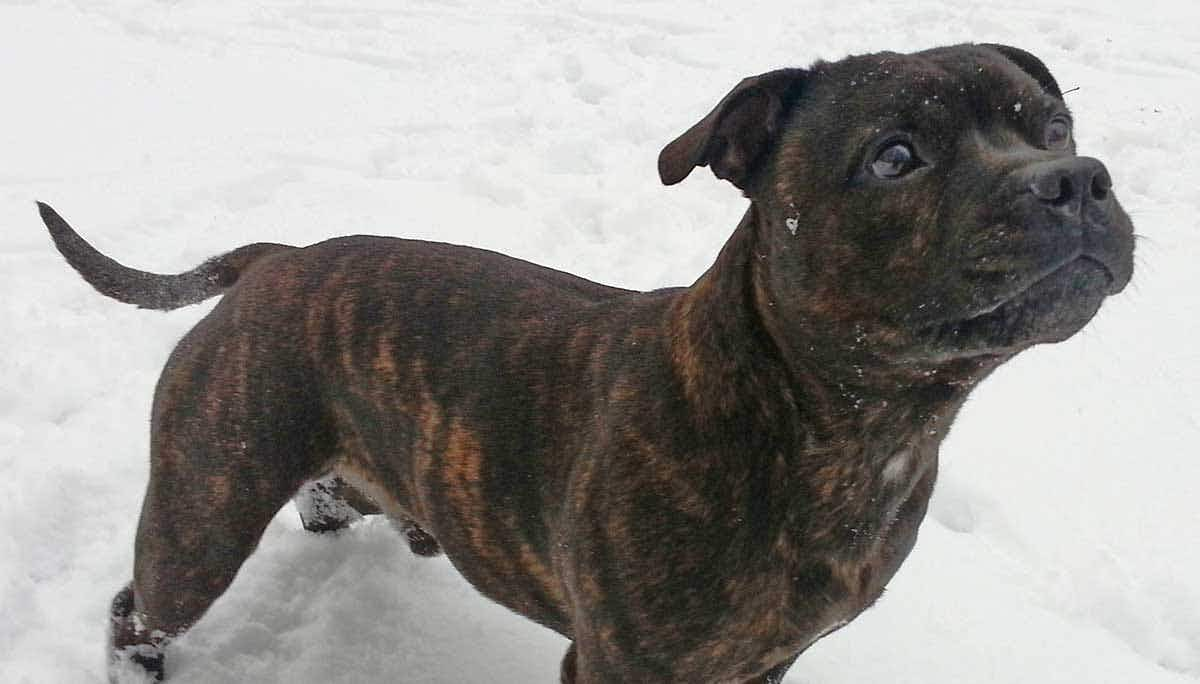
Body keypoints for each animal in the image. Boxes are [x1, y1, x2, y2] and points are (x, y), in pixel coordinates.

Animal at [39, 43, 1132, 681]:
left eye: (1055, 125)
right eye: (895, 157)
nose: (1075, 178)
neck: (854, 433)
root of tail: (274, 259)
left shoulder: (760, 664)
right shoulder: (621, 667)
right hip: (204, 515)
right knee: (141, 607)